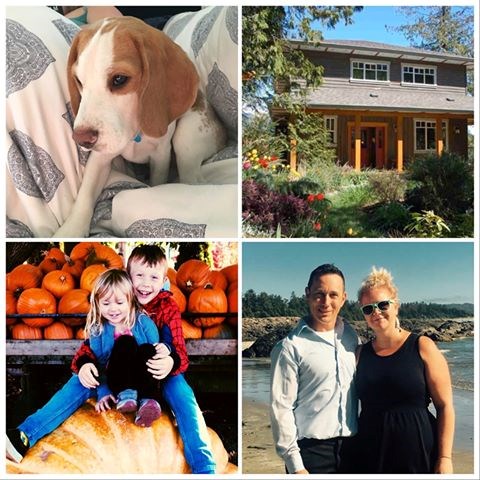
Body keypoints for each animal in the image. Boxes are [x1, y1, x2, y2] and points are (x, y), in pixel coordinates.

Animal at [53, 15, 226, 237]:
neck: (134, 133)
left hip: (186, 139)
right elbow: (85, 194)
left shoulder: (160, 155)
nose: (81, 138)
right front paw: (71, 229)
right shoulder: (100, 158)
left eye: (119, 79)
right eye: (79, 81)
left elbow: (157, 181)